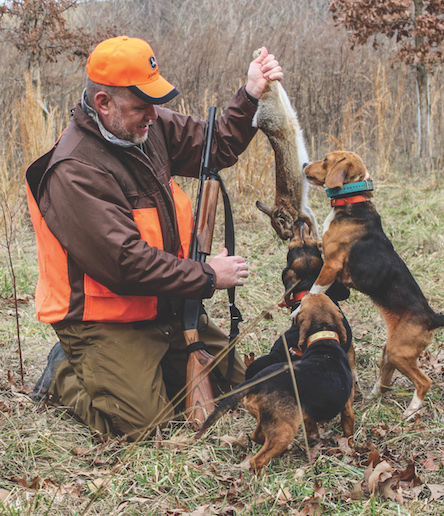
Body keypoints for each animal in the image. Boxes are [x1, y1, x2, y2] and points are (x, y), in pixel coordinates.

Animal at [196, 292, 356, 470]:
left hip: (267, 420)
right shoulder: (348, 409)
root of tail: (257, 381)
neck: (323, 339)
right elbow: (349, 433)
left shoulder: (307, 416)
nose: (312, 292)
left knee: (256, 436)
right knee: (257, 460)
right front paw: (352, 451)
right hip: (284, 431)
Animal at [304, 151, 444, 418]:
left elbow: (313, 291)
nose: (304, 164)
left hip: (400, 353)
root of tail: (432, 317)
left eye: (326, 159)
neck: (353, 199)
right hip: (391, 351)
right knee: (386, 380)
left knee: (424, 382)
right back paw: (373, 396)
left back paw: (411, 411)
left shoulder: (331, 266)